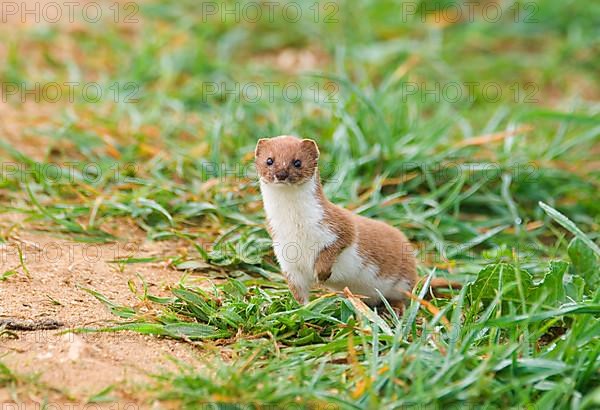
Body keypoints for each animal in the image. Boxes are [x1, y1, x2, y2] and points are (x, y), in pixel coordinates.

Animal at [255, 136, 424, 306]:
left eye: (297, 162)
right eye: (269, 160)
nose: (281, 174)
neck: (296, 227)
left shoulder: (339, 225)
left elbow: (338, 243)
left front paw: (321, 273)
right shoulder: (287, 258)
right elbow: (299, 294)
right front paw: (302, 308)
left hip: (404, 280)